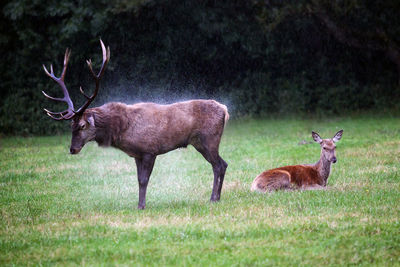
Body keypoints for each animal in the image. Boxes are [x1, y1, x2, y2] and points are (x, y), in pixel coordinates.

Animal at [41, 40, 228, 210]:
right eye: (70, 126)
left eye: (82, 125)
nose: (72, 149)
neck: (122, 130)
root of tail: (225, 110)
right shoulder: (137, 155)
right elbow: (138, 180)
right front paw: (139, 204)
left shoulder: (150, 150)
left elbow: (144, 180)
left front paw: (141, 206)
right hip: (200, 143)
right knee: (223, 164)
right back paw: (218, 197)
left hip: (209, 139)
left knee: (218, 165)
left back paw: (213, 198)